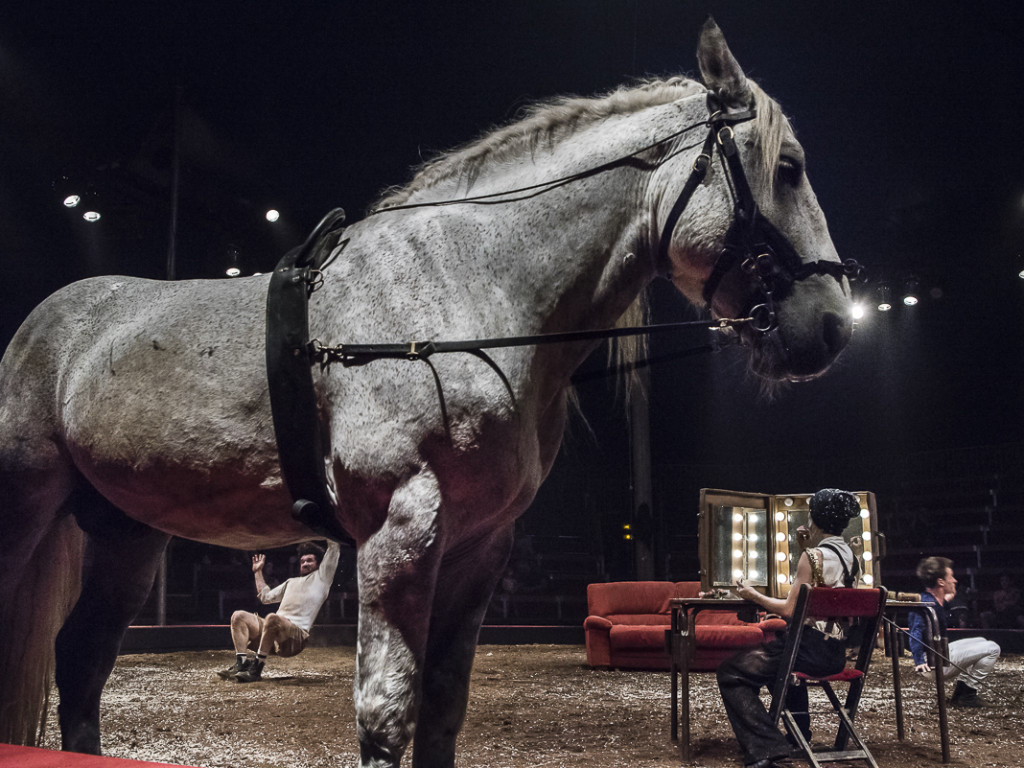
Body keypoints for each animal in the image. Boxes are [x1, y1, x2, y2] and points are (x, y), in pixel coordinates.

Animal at [0, 20, 856, 765]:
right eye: (787, 167)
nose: (830, 325)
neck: (458, 294)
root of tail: (42, 327)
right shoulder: (399, 530)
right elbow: (386, 712)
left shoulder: (479, 547)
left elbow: (442, 708)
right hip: (29, 508)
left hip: (127, 533)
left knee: (81, 660)